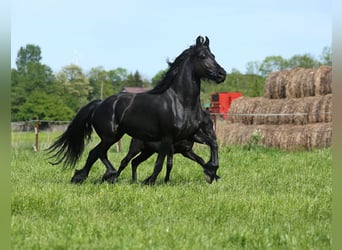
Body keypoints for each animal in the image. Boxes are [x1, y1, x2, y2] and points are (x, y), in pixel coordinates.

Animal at [47, 35, 224, 184]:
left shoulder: (190, 134)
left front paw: (211, 171)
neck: (181, 102)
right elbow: (161, 163)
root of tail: (99, 104)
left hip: (115, 136)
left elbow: (213, 144)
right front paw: (149, 181)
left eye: (214, 56)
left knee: (97, 154)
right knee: (98, 153)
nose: (222, 74)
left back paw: (93, 176)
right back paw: (102, 175)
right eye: (203, 56)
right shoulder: (167, 138)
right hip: (110, 136)